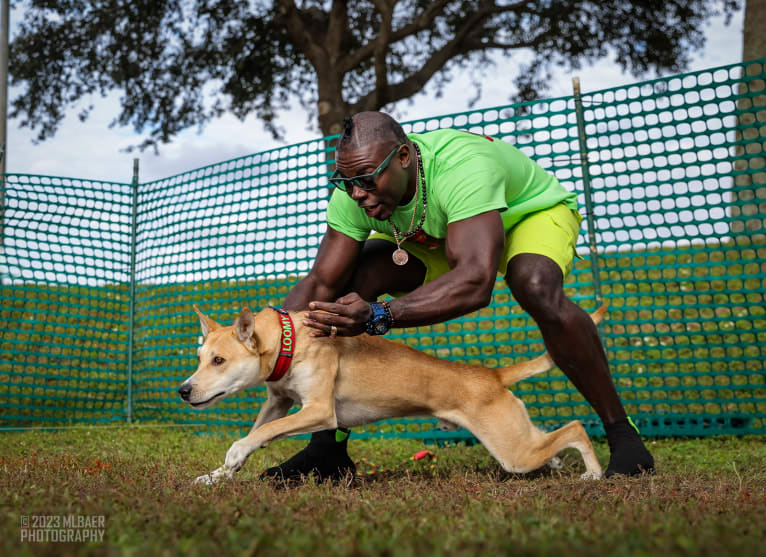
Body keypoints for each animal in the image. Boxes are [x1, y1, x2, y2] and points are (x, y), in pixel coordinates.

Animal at [180, 304, 608, 482]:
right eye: (199, 357)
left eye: (218, 360)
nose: (184, 390)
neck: (289, 341)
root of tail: (491, 374)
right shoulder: (278, 401)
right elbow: (258, 432)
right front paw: (217, 475)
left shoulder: (319, 411)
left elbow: (258, 435)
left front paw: (234, 454)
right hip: (517, 440)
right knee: (552, 439)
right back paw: (557, 464)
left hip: (512, 451)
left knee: (575, 428)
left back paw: (593, 473)